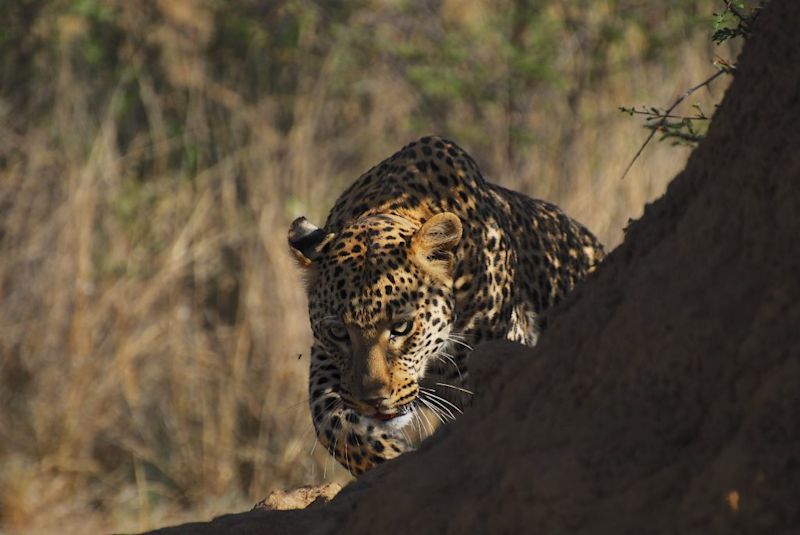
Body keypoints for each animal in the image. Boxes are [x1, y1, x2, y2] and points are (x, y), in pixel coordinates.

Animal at [286, 136, 600, 476]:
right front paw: (391, 458)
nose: (374, 401)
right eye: (339, 333)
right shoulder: (325, 357)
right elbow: (328, 419)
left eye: (401, 327)